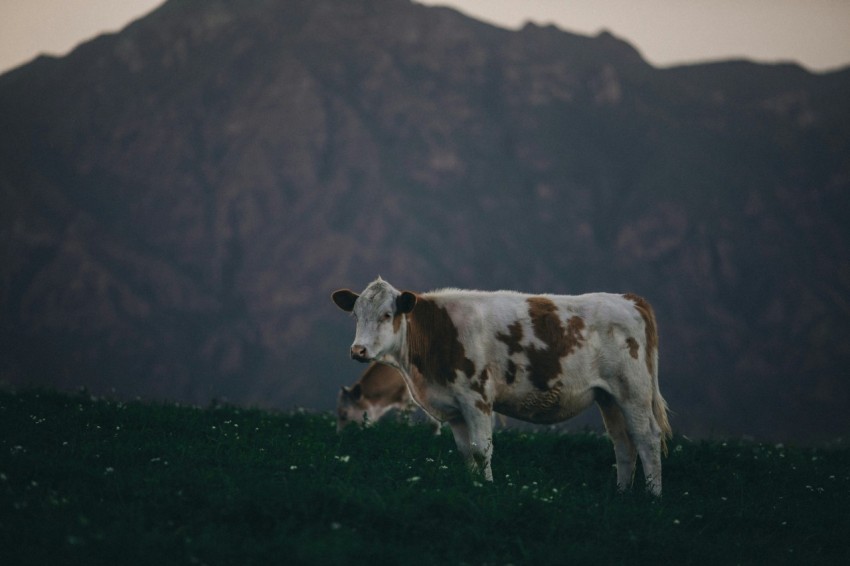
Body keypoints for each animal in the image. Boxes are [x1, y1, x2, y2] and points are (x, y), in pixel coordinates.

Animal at [332, 278, 668, 494]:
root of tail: (628, 299)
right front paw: (474, 487)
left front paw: (488, 489)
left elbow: (482, 450)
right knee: (622, 443)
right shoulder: (454, 408)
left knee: (646, 438)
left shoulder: (477, 398)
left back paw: (652, 496)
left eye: (387, 315)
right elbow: (466, 452)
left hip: (633, 391)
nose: (358, 350)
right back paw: (622, 493)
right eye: (356, 314)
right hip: (609, 397)